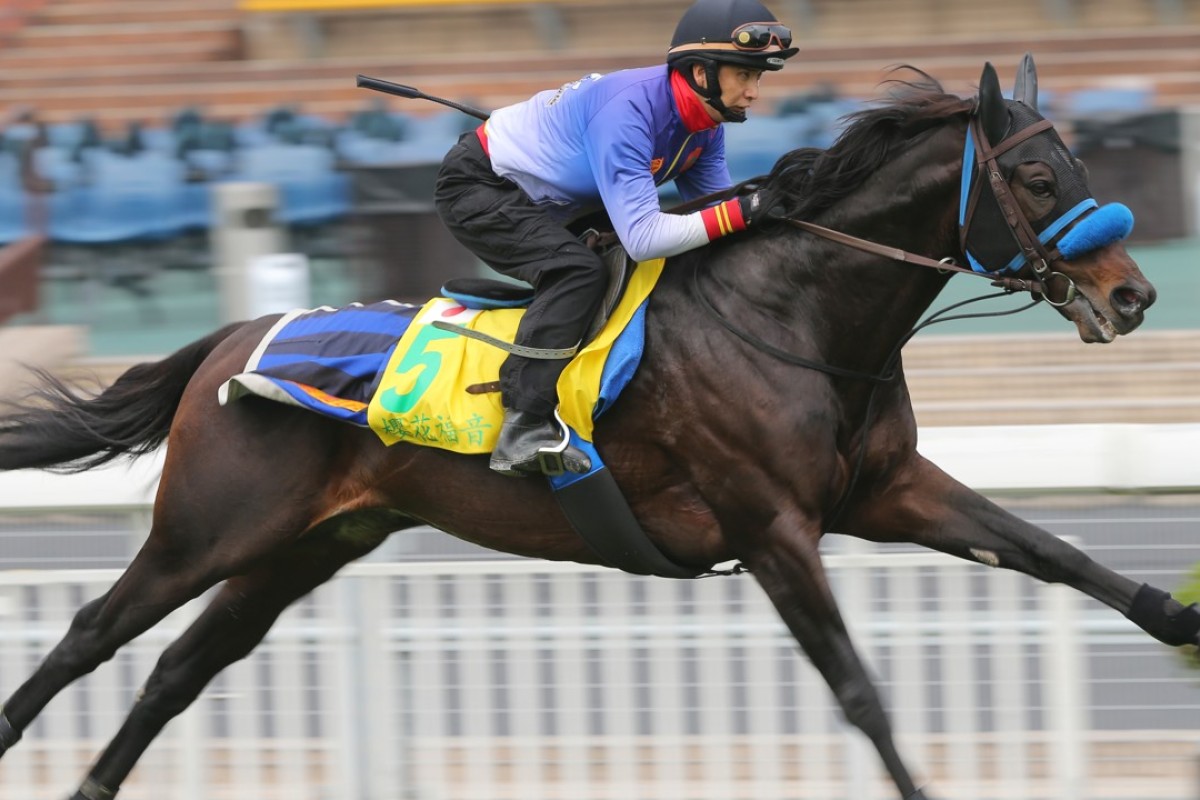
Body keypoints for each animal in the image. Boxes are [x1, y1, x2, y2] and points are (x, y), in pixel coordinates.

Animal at [2, 57, 1200, 800]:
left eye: (1083, 164)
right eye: (1038, 174)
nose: (1135, 294)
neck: (795, 316)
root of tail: (232, 337)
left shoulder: (887, 490)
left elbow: (1054, 551)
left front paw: (1181, 618)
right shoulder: (772, 527)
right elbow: (860, 690)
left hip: (299, 546)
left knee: (176, 671)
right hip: (207, 529)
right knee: (90, 634)